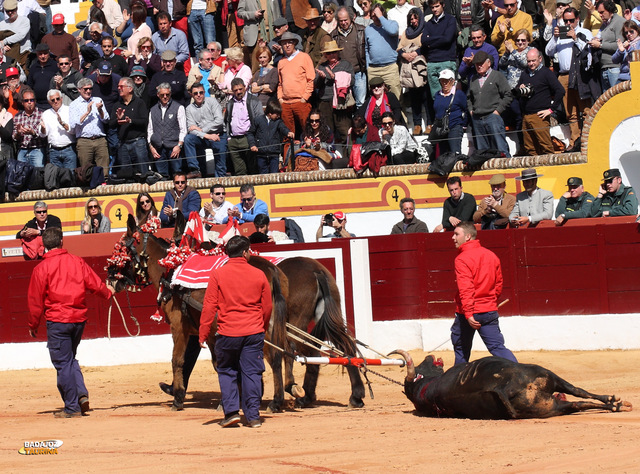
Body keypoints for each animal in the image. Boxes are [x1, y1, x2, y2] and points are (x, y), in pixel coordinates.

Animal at [390, 352, 632, 418]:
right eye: (421, 369)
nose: (429, 356)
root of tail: (505, 389)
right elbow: (580, 392)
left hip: (551, 405)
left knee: (576, 402)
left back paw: (615, 405)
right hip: (548, 375)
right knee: (577, 394)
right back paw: (616, 403)